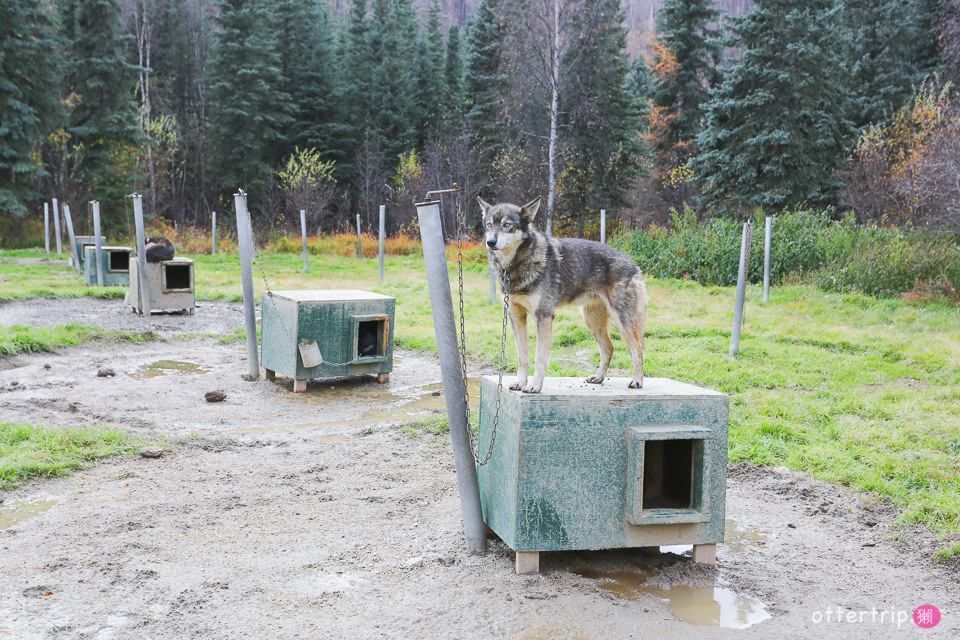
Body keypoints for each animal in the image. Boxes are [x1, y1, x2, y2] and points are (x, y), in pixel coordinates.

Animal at [478, 196, 644, 396]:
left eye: (507, 225)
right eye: (489, 225)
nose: (490, 242)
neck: (517, 265)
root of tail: (633, 264)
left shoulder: (543, 317)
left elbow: (539, 357)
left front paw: (534, 386)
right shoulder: (516, 317)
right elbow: (522, 357)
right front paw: (520, 382)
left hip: (622, 321)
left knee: (638, 349)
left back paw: (637, 381)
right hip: (592, 321)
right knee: (609, 348)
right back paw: (598, 378)